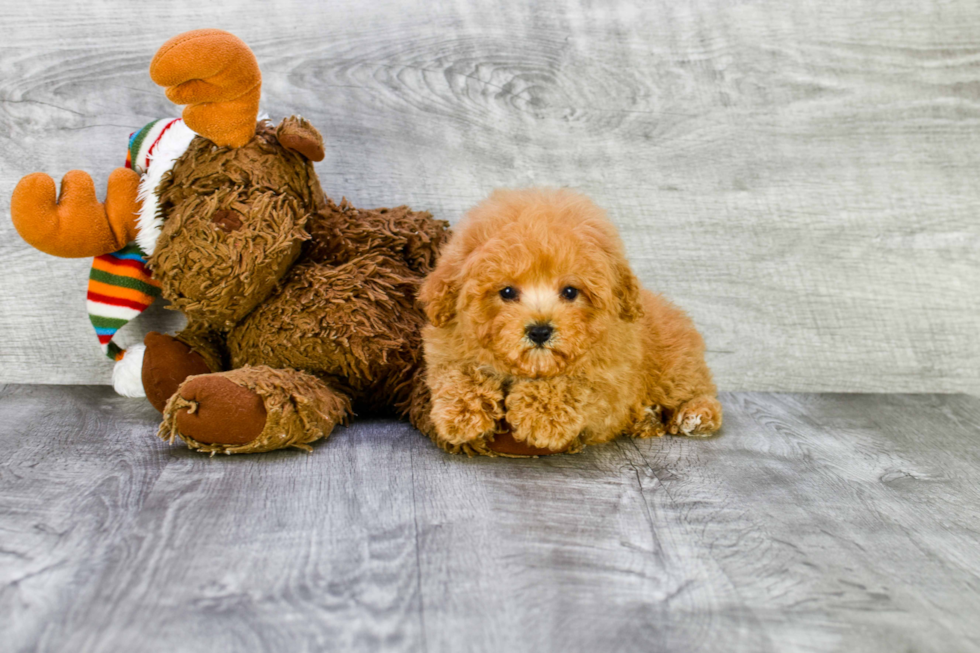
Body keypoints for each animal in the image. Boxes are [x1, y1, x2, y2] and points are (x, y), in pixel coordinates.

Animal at [418, 186, 724, 456]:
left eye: (570, 292)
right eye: (506, 292)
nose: (540, 331)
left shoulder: (611, 379)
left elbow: (574, 382)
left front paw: (541, 417)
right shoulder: (447, 344)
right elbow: (456, 371)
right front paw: (460, 416)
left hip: (675, 369)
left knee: (698, 391)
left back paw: (695, 415)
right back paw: (647, 418)